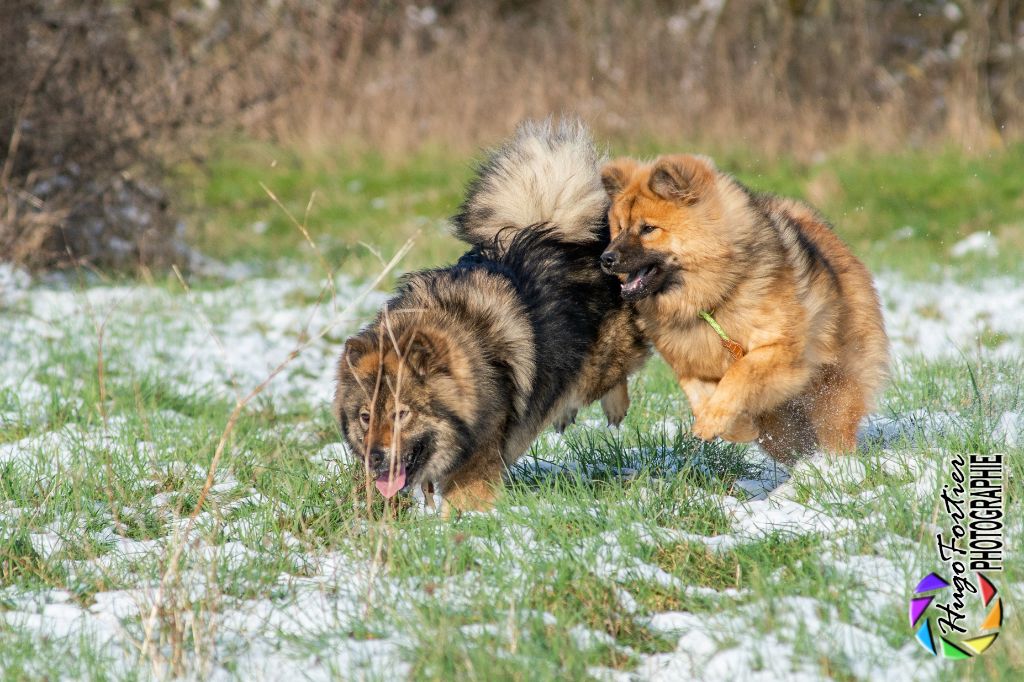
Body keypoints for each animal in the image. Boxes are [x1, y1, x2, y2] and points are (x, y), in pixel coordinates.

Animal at [333, 120, 647, 509]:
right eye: (365, 417)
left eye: (401, 414)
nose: (375, 458)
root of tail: (554, 232)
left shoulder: (476, 467)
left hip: (600, 363)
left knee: (617, 370)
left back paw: (611, 406)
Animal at [598, 155, 888, 462]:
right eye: (619, 228)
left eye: (648, 229)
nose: (606, 258)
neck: (713, 299)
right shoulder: (690, 364)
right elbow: (698, 393)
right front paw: (733, 426)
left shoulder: (783, 350)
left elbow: (739, 374)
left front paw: (714, 420)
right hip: (783, 433)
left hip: (833, 395)